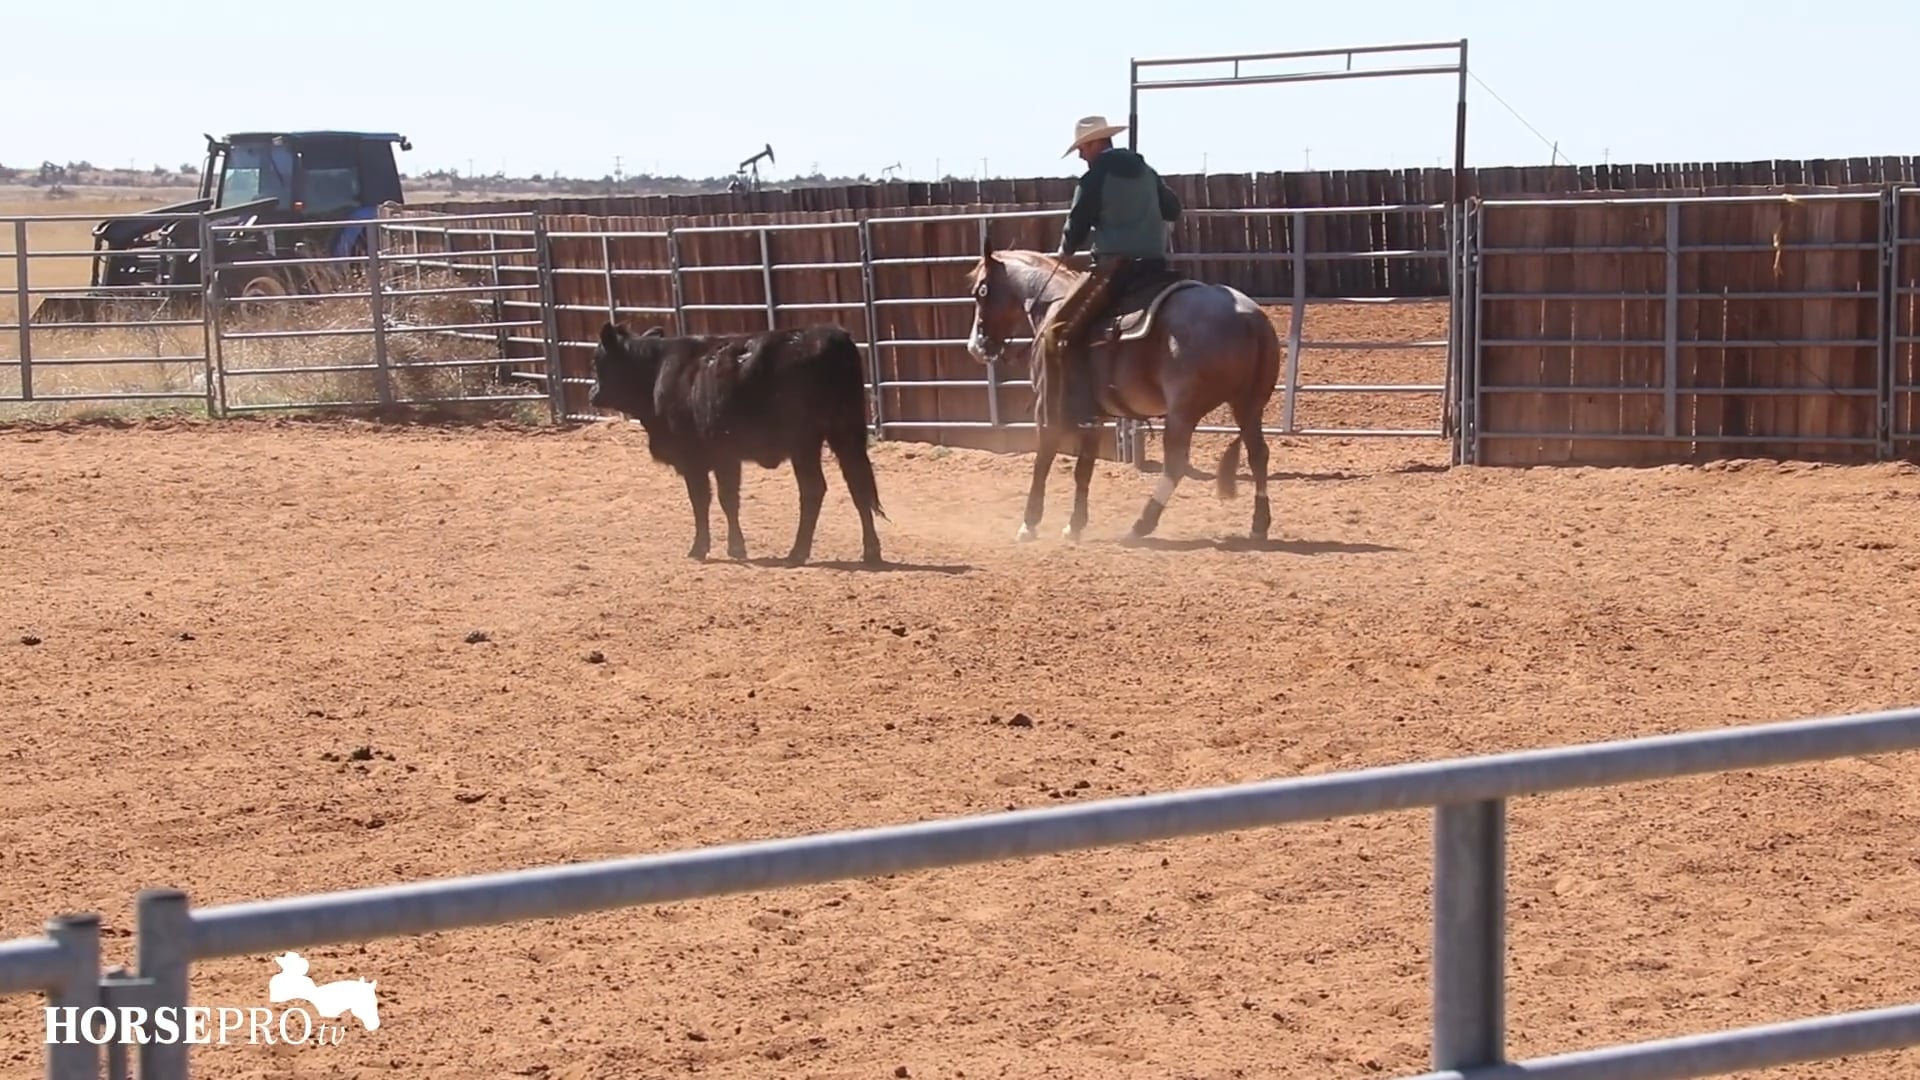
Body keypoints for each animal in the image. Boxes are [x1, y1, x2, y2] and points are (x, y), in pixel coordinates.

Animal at [589, 321, 886, 567]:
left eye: (598, 361)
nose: (592, 392)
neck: (658, 372)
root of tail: (830, 337)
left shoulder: (695, 459)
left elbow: (703, 500)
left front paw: (702, 548)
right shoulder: (726, 458)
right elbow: (728, 499)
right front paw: (735, 547)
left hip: (805, 443)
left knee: (814, 489)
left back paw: (797, 553)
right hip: (846, 434)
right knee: (859, 487)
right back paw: (870, 552)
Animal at [963, 237, 1282, 544]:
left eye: (981, 291)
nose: (975, 347)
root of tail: (1250, 318)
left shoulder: (1047, 409)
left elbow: (1042, 462)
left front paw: (1029, 524)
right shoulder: (1093, 417)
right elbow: (1083, 471)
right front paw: (1074, 525)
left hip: (1183, 412)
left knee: (1175, 464)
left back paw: (1140, 526)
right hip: (1248, 406)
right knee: (1258, 455)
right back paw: (1259, 525)